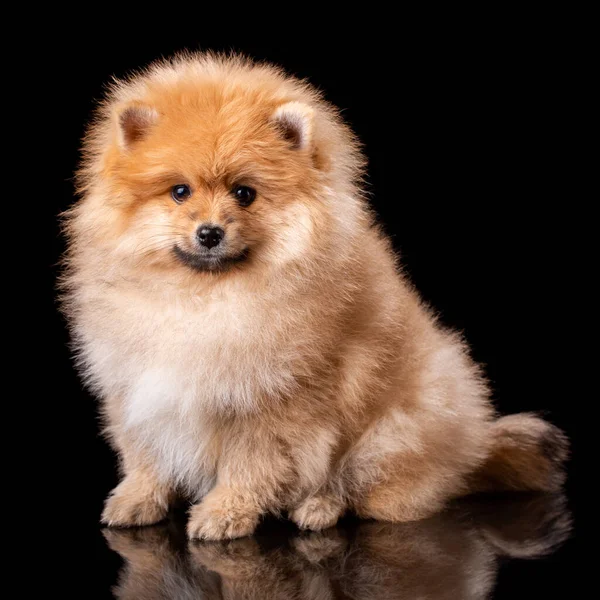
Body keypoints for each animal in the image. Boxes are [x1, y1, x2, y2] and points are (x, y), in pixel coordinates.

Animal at [61, 52, 568, 540]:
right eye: (179, 192)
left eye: (244, 193)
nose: (209, 232)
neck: (204, 298)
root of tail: (473, 449)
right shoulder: (136, 388)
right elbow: (144, 456)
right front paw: (136, 499)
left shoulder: (270, 403)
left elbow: (250, 466)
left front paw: (225, 513)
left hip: (398, 430)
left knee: (361, 486)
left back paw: (319, 506)